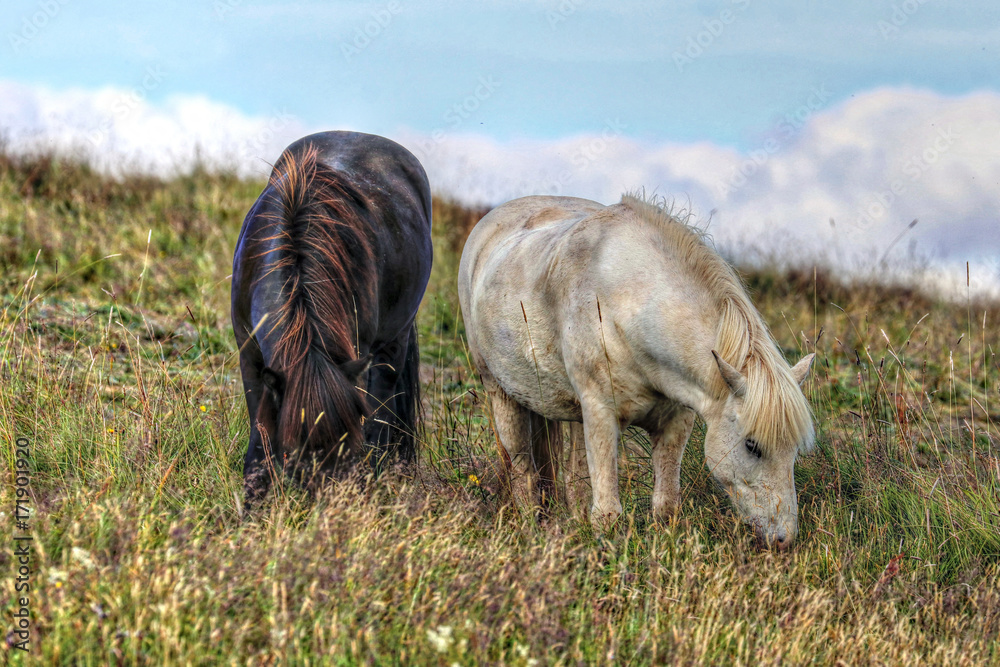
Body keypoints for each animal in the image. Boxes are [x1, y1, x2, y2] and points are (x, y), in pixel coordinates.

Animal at [232, 132, 432, 500]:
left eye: (346, 446)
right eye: (294, 451)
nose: (327, 504)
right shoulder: (249, 356)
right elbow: (260, 432)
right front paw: (253, 499)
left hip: (393, 343)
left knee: (383, 412)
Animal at [458, 196, 816, 552]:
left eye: (794, 451)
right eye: (752, 446)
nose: (784, 539)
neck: (623, 301)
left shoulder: (674, 423)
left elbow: (666, 507)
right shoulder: (601, 415)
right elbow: (607, 514)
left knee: (573, 481)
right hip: (501, 394)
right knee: (524, 473)